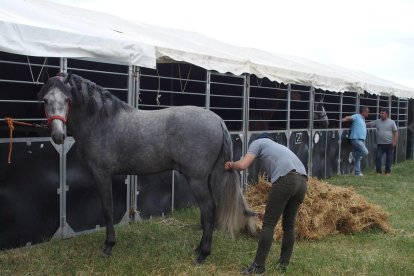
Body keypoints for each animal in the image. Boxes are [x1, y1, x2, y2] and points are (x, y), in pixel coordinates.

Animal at [38, 72, 258, 264]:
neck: (101, 121)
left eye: (67, 100)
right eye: (45, 101)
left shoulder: (102, 175)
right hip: (206, 178)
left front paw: (109, 246)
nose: (58, 136)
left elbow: (108, 209)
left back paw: (203, 254)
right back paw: (198, 248)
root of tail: (218, 120)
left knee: (209, 208)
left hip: (196, 179)